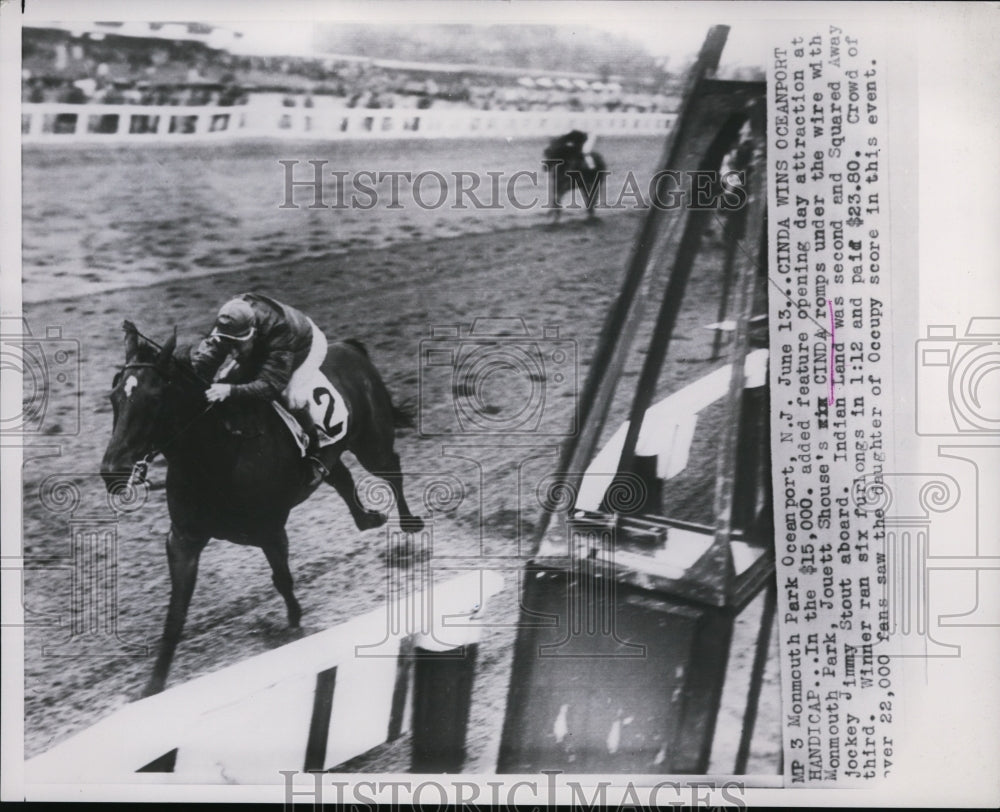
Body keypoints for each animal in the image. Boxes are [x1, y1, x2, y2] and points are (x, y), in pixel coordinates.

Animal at [97, 320, 418, 696]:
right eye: (115, 397)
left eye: (154, 399)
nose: (112, 470)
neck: (218, 454)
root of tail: (351, 347)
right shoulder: (183, 540)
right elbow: (175, 615)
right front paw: (154, 685)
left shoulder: (270, 529)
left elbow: (282, 578)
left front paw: (293, 623)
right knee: (340, 475)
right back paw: (367, 518)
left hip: (371, 439)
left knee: (391, 469)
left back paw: (410, 524)